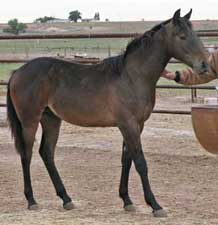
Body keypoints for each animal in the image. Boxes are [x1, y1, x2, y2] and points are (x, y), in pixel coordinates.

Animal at [6, 9, 208, 218]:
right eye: (182, 36)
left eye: (194, 34)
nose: (204, 65)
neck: (132, 76)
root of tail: (17, 72)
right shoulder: (128, 124)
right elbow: (140, 162)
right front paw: (155, 205)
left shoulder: (137, 125)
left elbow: (127, 159)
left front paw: (127, 201)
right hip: (30, 120)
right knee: (27, 154)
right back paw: (31, 200)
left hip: (51, 119)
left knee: (46, 153)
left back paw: (66, 199)